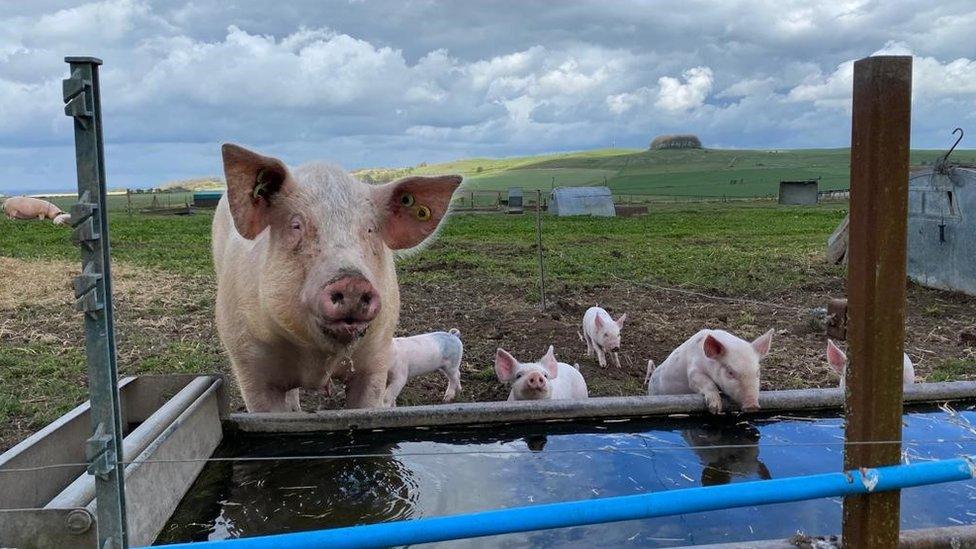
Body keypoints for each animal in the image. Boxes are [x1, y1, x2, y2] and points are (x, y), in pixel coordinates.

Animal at [211, 143, 462, 408]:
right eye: (296, 225)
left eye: (371, 229)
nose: (352, 282)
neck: (317, 360)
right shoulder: (246, 360)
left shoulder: (377, 357)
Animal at [644, 328, 772, 414]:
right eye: (730, 372)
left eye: (757, 372)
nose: (752, 406)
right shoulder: (693, 372)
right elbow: (705, 382)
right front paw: (715, 409)